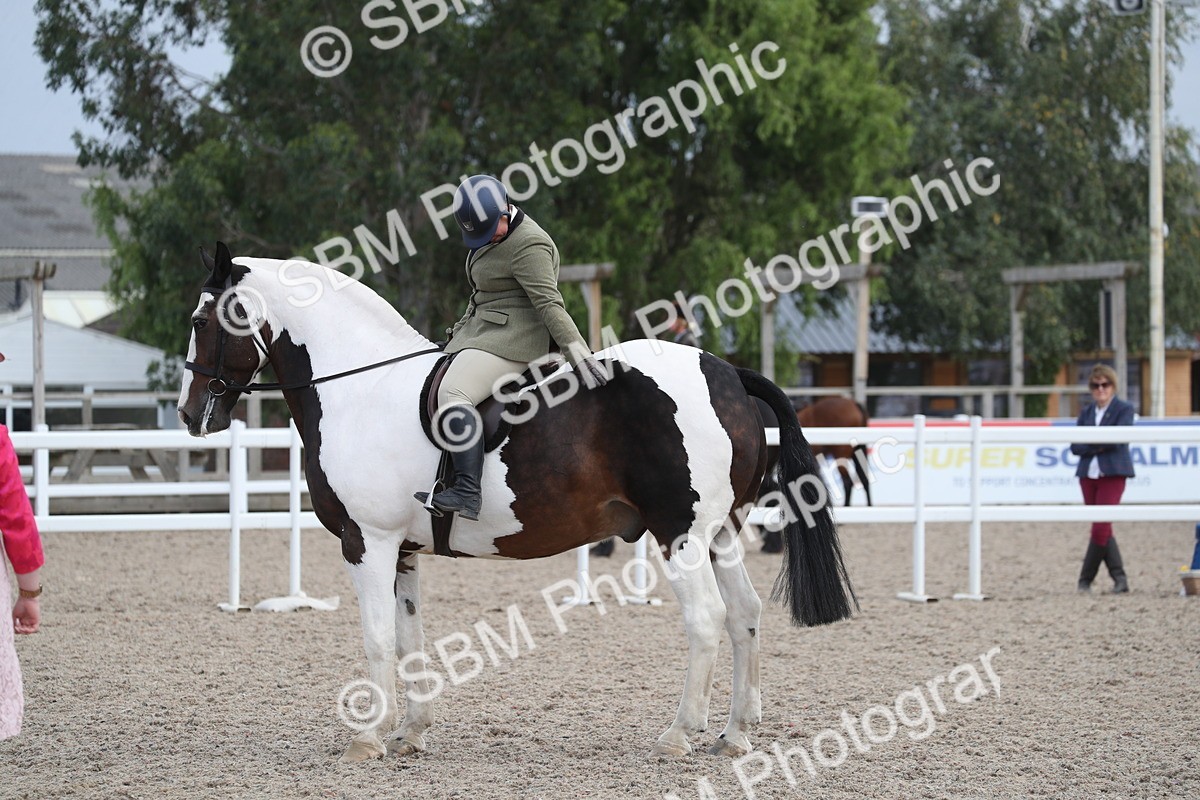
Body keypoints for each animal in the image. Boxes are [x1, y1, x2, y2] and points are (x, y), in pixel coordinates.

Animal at [177, 243, 855, 763]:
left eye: (202, 322)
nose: (189, 413)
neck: (362, 388)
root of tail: (727, 374)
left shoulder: (367, 542)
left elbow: (376, 639)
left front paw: (366, 741)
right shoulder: (401, 549)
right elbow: (409, 637)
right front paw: (410, 734)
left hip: (681, 535)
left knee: (708, 619)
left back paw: (678, 734)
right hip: (720, 534)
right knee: (745, 615)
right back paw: (735, 734)